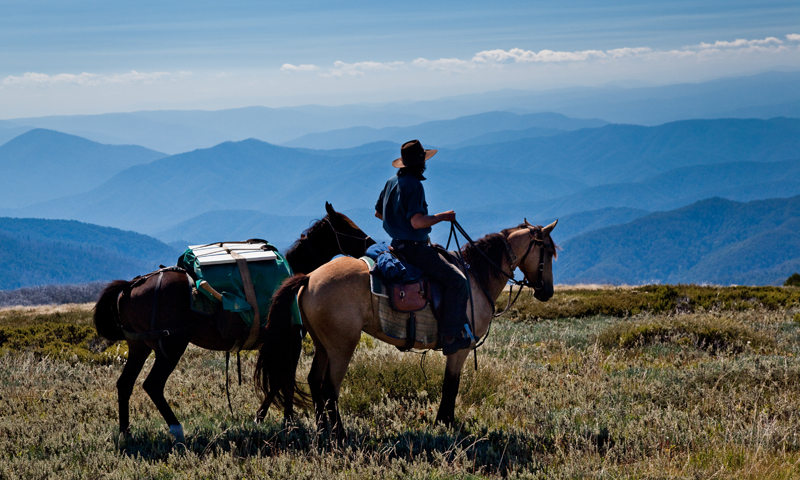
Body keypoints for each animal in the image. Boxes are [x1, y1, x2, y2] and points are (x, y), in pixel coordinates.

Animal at [92, 202, 374, 442]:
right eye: (349, 227)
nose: (371, 242)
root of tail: (129, 287)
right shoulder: (289, 341)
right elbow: (283, 380)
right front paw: (289, 423)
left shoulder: (275, 344)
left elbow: (275, 383)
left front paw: (262, 418)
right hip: (170, 347)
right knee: (153, 385)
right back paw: (176, 429)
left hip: (139, 347)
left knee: (125, 384)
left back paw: (126, 433)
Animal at [255, 219, 556, 436]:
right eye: (548, 252)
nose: (547, 292)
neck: (475, 277)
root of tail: (308, 277)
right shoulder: (459, 348)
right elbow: (451, 385)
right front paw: (446, 423)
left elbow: (449, 385)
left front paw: (443, 422)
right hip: (342, 346)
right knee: (329, 388)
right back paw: (339, 434)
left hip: (323, 345)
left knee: (315, 381)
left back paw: (322, 430)